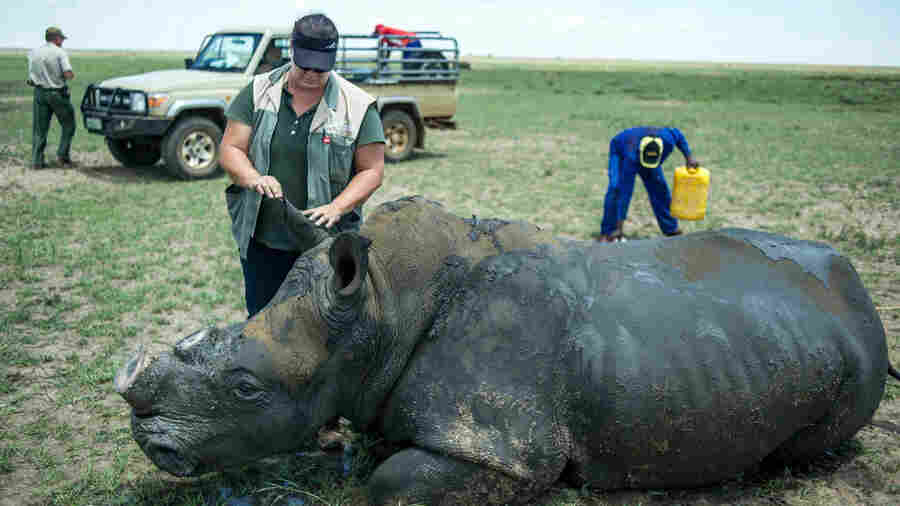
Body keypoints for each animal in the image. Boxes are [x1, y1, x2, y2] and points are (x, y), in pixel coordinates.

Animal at [116, 196, 898, 505]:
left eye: (245, 387)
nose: (150, 440)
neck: (379, 309)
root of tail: (857, 285)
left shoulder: (508, 450)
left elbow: (388, 483)